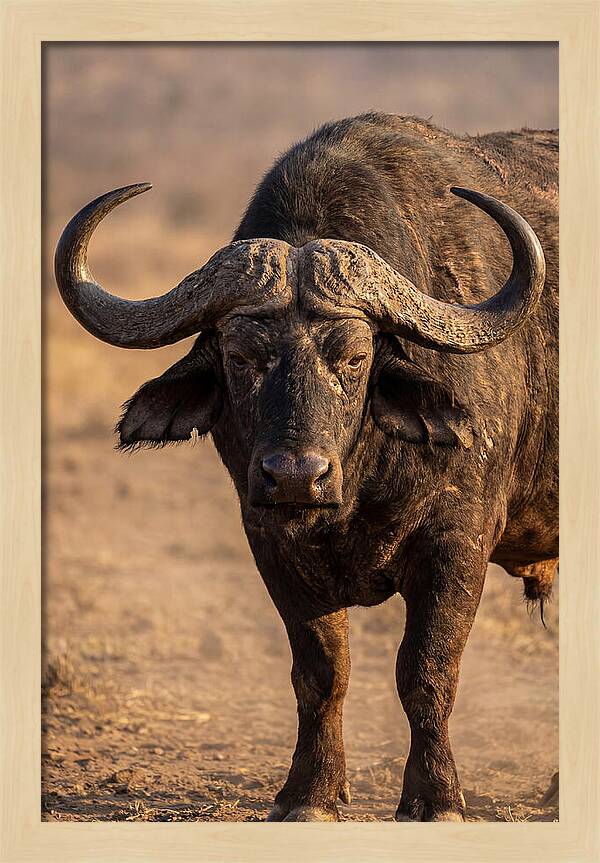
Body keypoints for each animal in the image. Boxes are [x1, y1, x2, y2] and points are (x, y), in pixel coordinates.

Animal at [54, 113, 558, 822]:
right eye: (241, 356)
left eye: (354, 356)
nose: (295, 475)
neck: (356, 486)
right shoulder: (269, 542)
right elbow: (322, 673)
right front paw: (311, 794)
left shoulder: (456, 545)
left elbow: (426, 672)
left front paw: (435, 798)